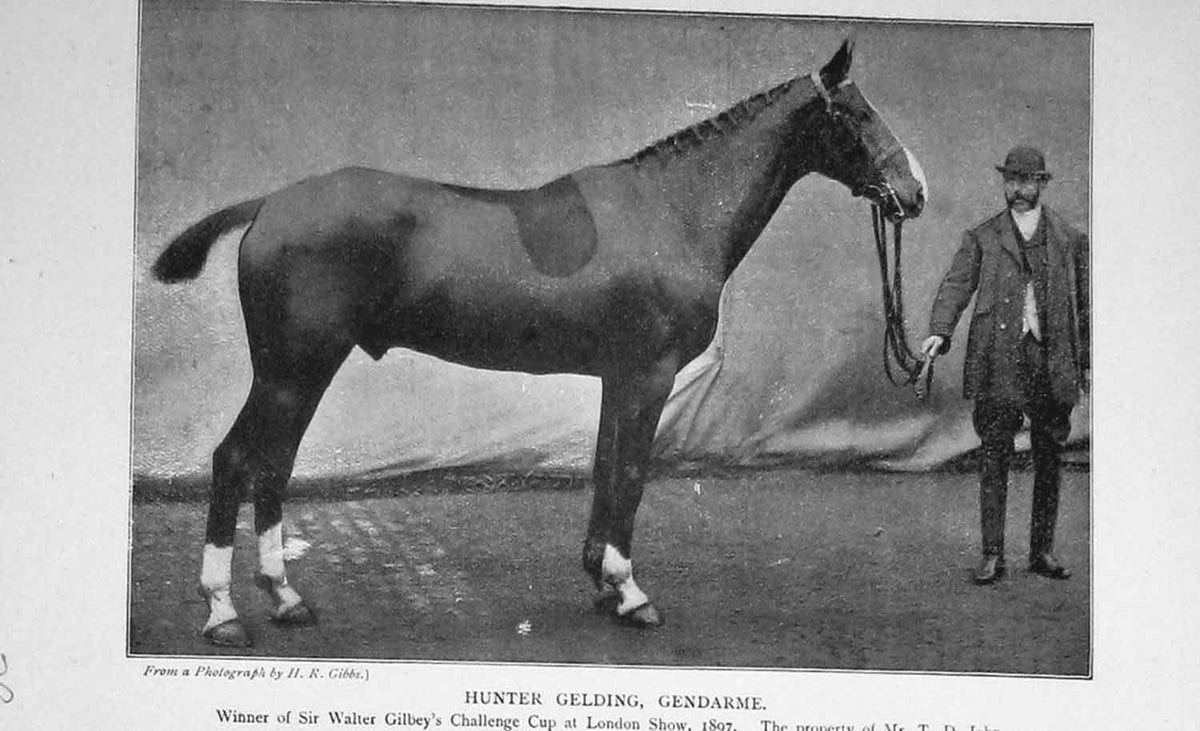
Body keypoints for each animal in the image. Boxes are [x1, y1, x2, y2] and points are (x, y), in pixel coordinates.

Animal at [151, 38, 927, 647]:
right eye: (858, 116)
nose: (914, 193)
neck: (672, 213)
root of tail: (271, 205)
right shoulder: (649, 376)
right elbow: (631, 474)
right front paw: (631, 592)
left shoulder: (619, 378)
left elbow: (607, 470)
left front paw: (604, 584)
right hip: (293, 368)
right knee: (236, 461)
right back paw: (223, 612)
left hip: (303, 370)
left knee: (273, 466)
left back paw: (285, 598)